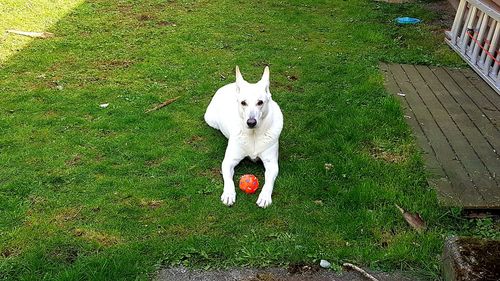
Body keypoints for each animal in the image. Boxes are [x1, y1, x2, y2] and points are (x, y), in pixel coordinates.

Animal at [203, 65, 282, 206]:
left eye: (260, 102)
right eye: (243, 103)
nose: (251, 122)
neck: (253, 135)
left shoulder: (272, 164)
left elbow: (269, 182)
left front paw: (265, 196)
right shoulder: (229, 161)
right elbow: (228, 180)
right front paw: (229, 194)